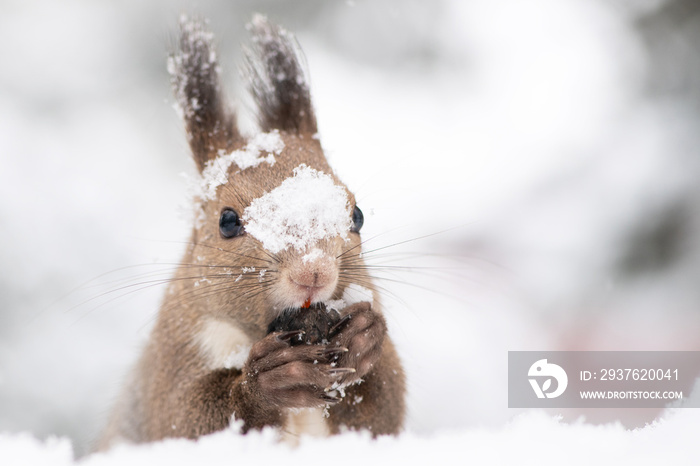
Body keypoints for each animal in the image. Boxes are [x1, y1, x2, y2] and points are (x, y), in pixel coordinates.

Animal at [98, 15, 404, 448]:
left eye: (357, 215)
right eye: (226, 222)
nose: (313, 272)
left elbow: (380, 415)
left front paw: (363, 339)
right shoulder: (170, 357)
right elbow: (182, 419)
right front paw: (269, 382)